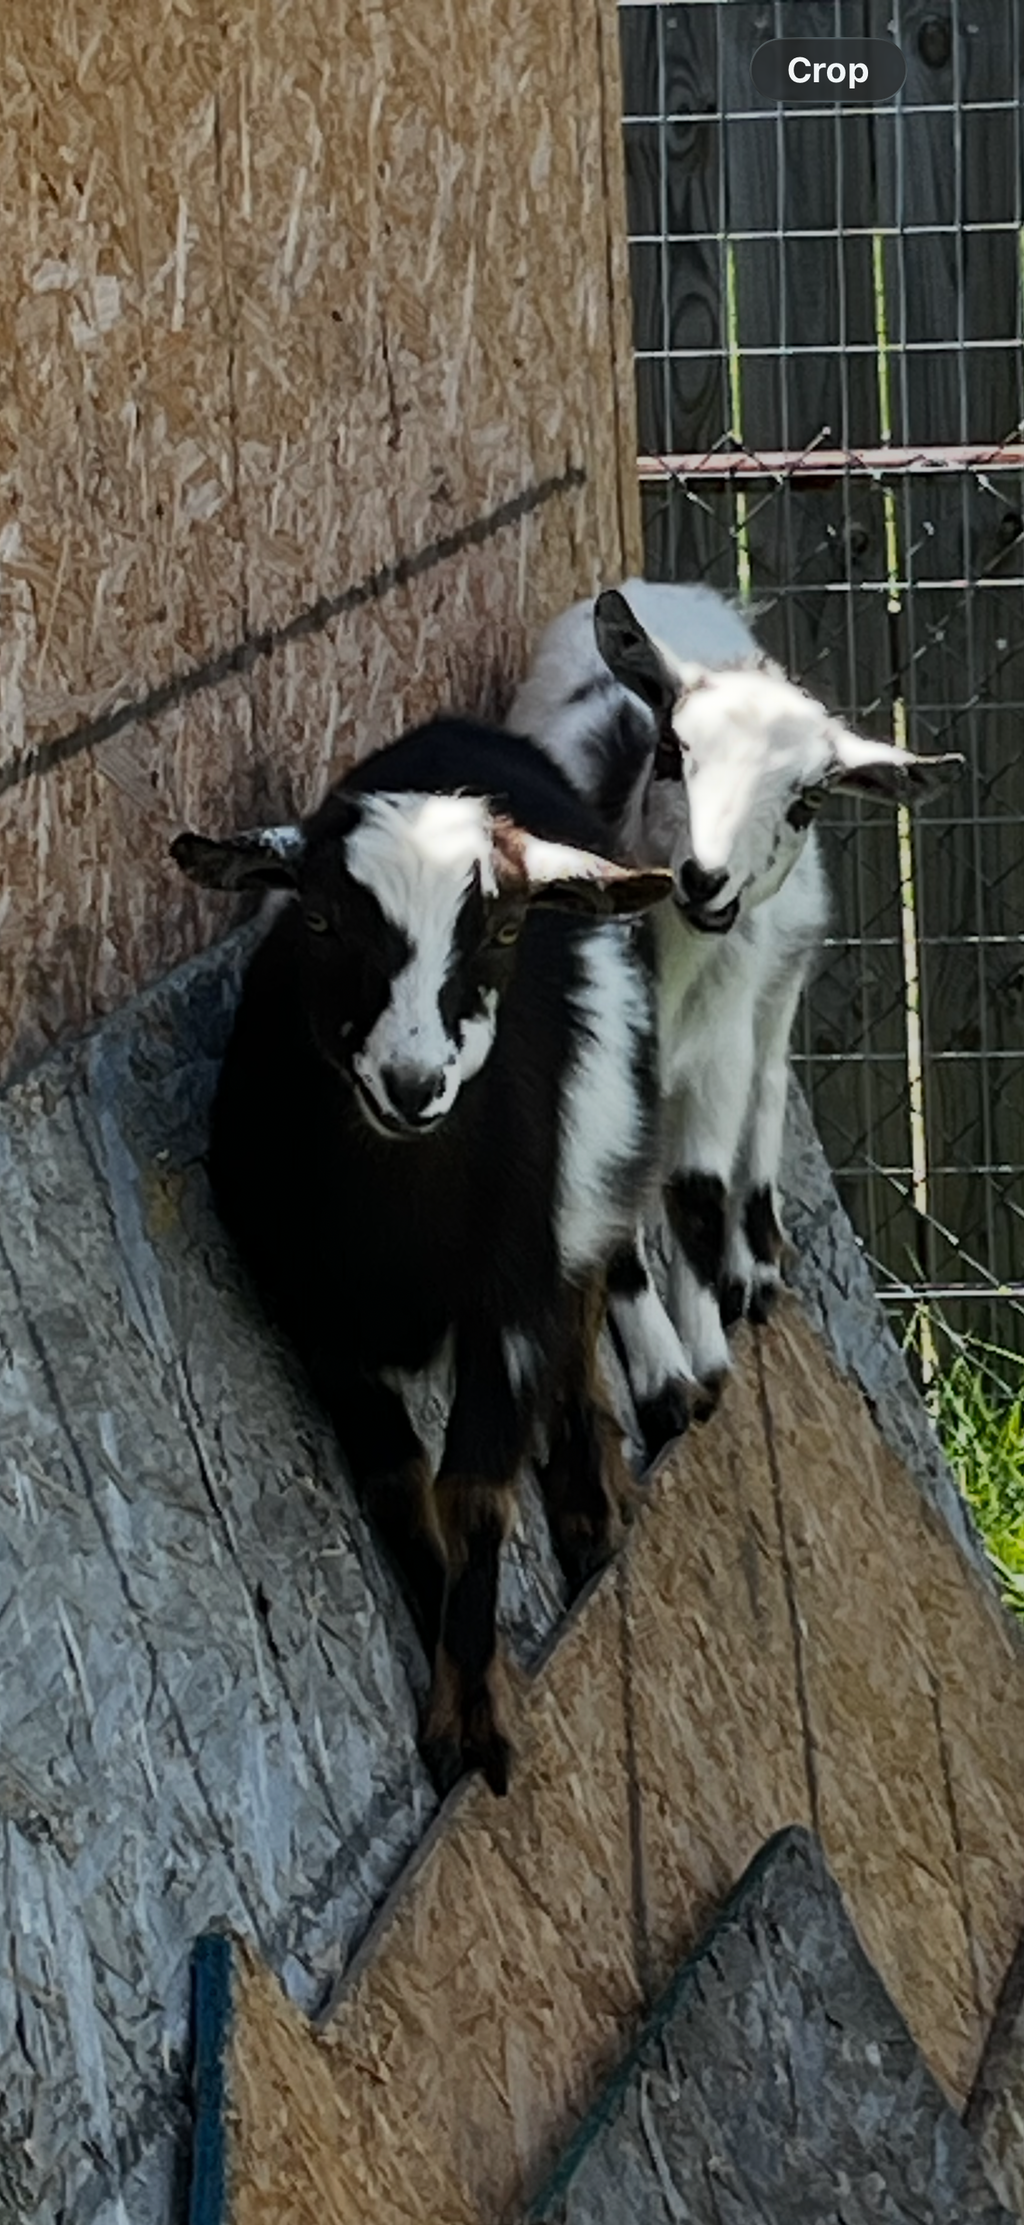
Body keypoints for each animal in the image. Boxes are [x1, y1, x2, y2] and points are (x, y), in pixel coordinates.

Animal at [171, 718, 670, 1794]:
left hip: (595, 1178)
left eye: (504, 930)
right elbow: (400, 1485)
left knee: (584, 1303)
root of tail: (465, 734)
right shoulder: (313, 1315)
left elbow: (475, 1493)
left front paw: (475, 1715)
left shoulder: (505, 1298)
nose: (412, 1082)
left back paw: (590, 1499)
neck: (394, 1230)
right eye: (318, 918)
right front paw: (465, 1661)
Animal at [508, 581, 962, 1456]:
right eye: (671, 751)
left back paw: (753, 1261)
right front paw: (665, 1382)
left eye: (807, 799)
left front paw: (706, 1355)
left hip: (783, 969)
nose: (705, 879)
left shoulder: (718, 1042)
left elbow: (701, 1189)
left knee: (769, 1081)